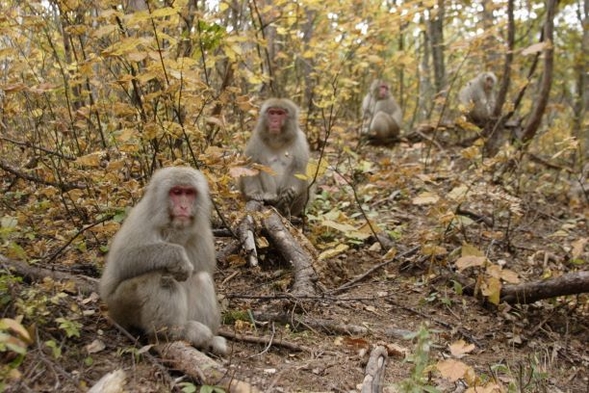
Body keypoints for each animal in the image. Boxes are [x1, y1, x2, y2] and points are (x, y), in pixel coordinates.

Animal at [99, 166, 227, 356]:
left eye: (189, 193)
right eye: (176, 192)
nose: (183, 206)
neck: (172, 227)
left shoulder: (203, 234)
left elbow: (203, 272)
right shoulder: (141, 219)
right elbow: (124, 259)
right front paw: (177, 255)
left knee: (201, 277)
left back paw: (206, 340)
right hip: (121, 306)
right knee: (159, 275)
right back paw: (174, 332)